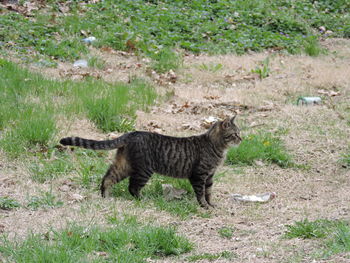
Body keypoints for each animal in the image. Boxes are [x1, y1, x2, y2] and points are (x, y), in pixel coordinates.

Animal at [60, 116, 241, 209]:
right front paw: (204, 206)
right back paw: (142, 199)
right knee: (132, 187)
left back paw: (106, 197)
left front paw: (211, 204)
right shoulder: (199, 175)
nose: (242, 139)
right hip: (144, 170)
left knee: (108, 178)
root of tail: (131, 133)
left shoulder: (209, 176)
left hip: (124, 165)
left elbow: (209, 192)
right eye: (235, 134)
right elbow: (201, 193)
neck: (217, 147)